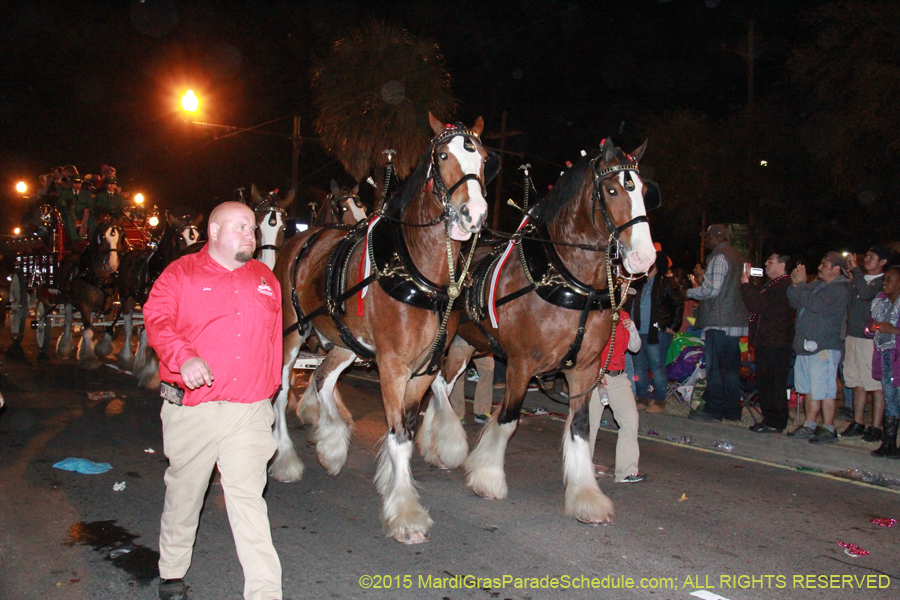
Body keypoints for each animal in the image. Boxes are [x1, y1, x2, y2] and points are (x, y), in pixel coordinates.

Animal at [270, 113, 488, 544]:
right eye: (442, 155)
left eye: (485, 158)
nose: (473, 213)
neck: (418, 271)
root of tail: (302, 238)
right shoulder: (392, 366)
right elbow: (399, 435)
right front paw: (405, 515)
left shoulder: (424, 369)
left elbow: (405, 427)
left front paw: (391, 481)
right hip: (292, 332)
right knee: (283, 388)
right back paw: (285, 459)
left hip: (345, 342)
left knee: (322, 378)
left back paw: (332, 445)